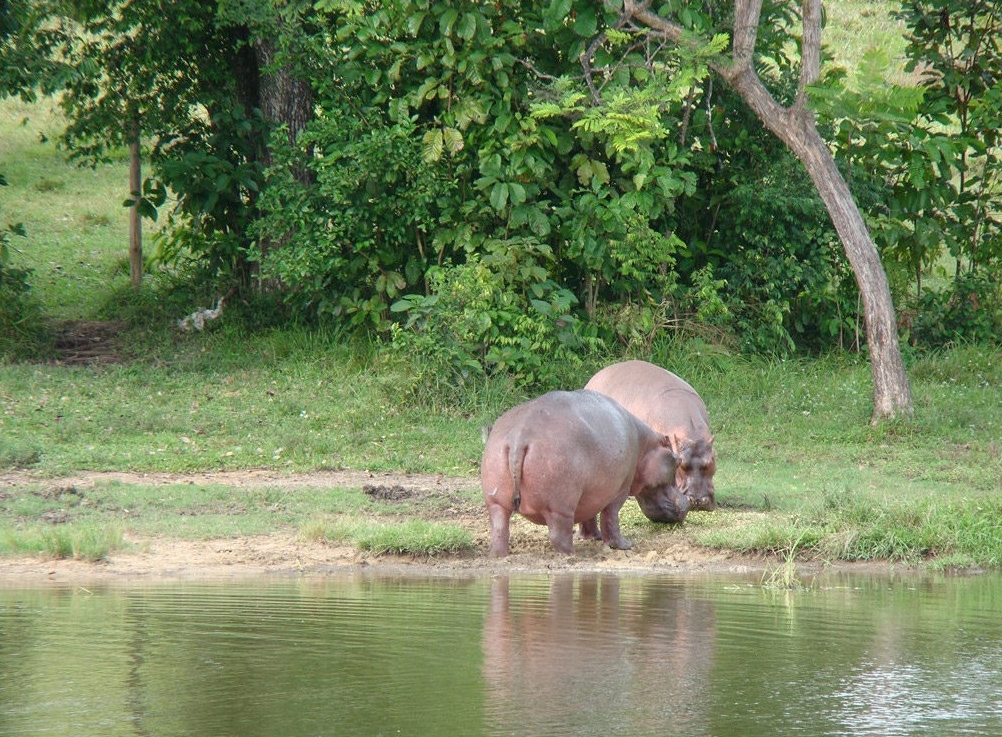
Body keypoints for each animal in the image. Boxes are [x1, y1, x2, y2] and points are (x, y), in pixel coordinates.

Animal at [476, 388, 681, 556]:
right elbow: (611, 517)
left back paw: (499, 555)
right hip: (559, 504)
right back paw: (572, 554)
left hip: (495, 500)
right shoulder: (620, 490)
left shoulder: (591, 493)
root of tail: (519, 436)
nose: (685, 503)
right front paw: (624, 545)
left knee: (499, 529)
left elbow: (589, 515)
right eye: (677, 461)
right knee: (559, 534)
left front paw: (592, 537)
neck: (645, 444)